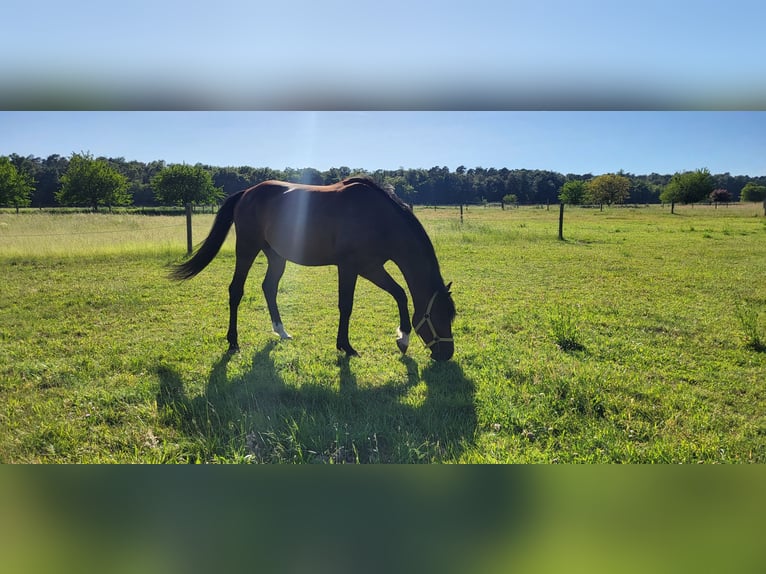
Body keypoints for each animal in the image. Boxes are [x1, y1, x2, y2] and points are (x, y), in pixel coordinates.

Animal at [171, 177, 456, 361]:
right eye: (439, 317)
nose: (447, 354)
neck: (378, 218)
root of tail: (247, 193)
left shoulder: (371, 267)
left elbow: (400, 294)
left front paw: (402, 339)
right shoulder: (351, 267)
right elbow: (346, 305)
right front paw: (346, 346)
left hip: (276, 256)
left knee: (269, 287)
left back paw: (281, 331)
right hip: (247, 249)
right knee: (236, 291)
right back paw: (233, 342)